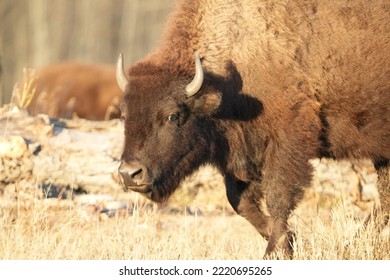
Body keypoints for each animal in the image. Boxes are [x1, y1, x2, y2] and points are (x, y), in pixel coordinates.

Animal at [116, 0, 390, 258]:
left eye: (173, 116)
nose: (129, 174)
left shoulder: (287, 145)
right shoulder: (237, 155)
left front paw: (276, 251)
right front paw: (291, 240)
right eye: (124, 114)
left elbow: (278, 198)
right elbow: (240, 202)